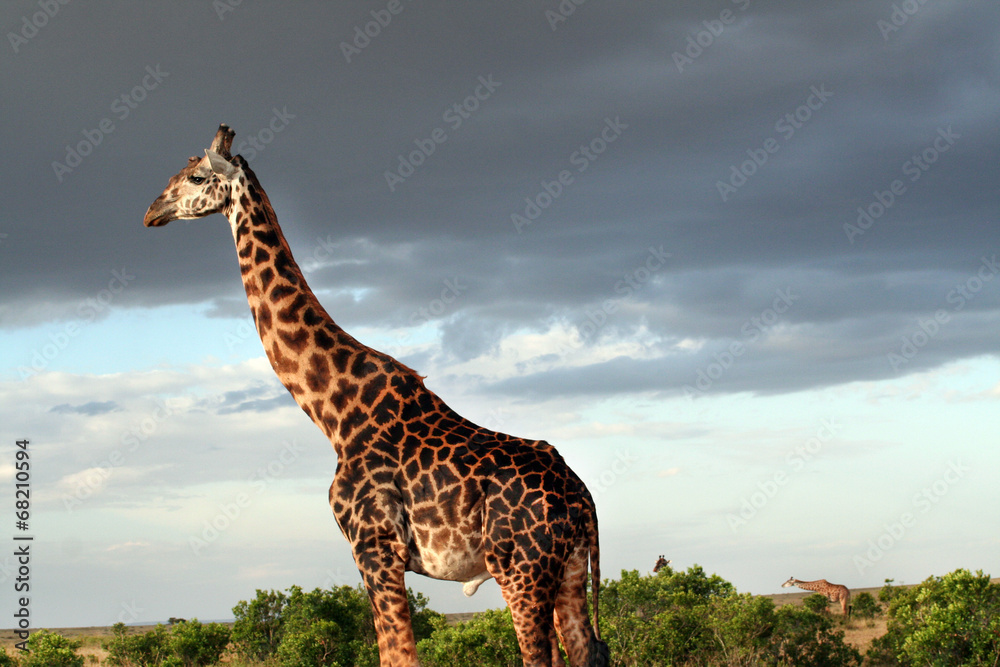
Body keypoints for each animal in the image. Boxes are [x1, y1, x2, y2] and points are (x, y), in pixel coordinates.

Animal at [143, 124, 609, 667]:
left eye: (196, 176)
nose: (152, 211)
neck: (331, 409)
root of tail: (582, 498)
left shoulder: (374, 546)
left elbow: (399, 655)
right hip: (568, 570)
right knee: (588, 650)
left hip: (520, 569)